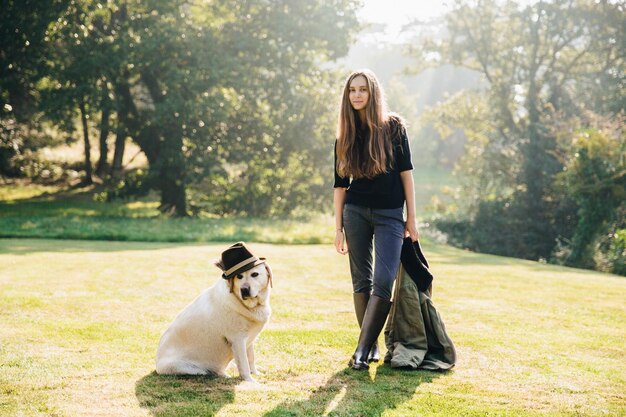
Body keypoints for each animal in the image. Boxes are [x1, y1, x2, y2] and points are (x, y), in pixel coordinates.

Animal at [155, 242, 270, 382]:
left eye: (255, 274)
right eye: (239, 276)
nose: (244, 290)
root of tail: (157, 365)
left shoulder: (249, 340)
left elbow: (251, 358)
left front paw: (255, 373)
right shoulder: (237, 340)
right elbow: (244, 364)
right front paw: (250, 381)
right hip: (191, 369)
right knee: (212, 372)